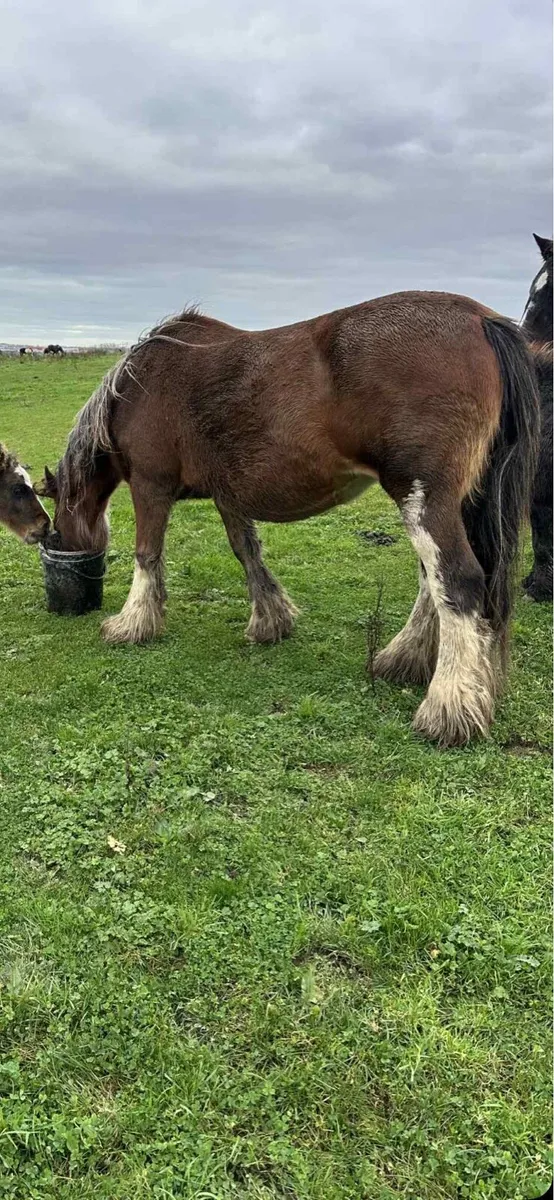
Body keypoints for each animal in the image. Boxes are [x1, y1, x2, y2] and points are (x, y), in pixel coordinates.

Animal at [41, 290, 539, 746]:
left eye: (55, 530)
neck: (137, 385)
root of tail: (480, 320)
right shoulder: (228, 495)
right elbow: (247, 552)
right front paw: (271, 620)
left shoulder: (150, 486)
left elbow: (147, 555)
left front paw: (131, 624)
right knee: (431, 584)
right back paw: (404, 660)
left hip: (422, 497)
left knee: (456, 580)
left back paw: (446, 707)